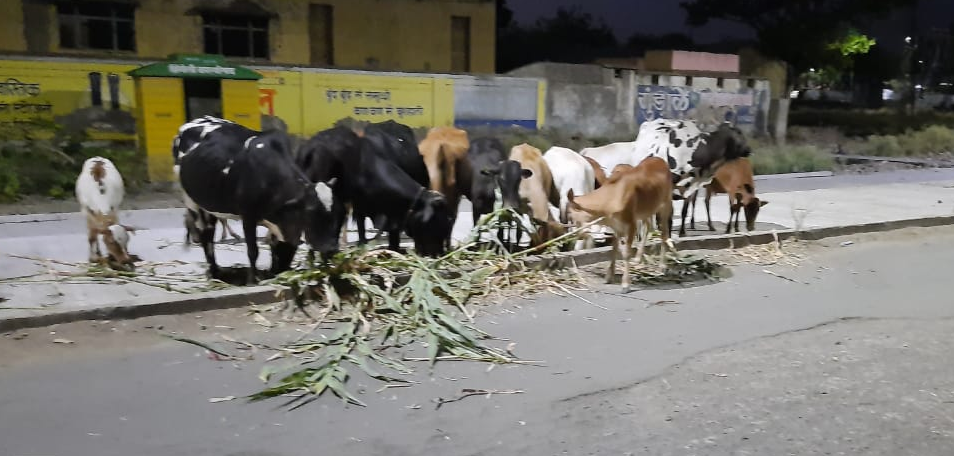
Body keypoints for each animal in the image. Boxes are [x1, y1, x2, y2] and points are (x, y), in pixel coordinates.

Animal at [175, 116, 338, 284]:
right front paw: (252, 280)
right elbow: (253, 251)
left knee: (210, 232)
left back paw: (216, 271)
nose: (331, 249)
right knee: (205, 236)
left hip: (210, 206)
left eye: (335, 212)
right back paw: (213, 273)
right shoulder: (248, 216)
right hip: (192, 202)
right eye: (310, 212)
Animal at [564, 157, 668, 292]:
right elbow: (614, 249)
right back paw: (638, 258)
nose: (577, 235)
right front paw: (609, 276)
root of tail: (659, 159)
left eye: (570, 214)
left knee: (664, 232)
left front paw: (625, 284)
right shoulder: (616, 225)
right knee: (648, 226)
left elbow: (626, 253)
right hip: (646, 210)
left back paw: (662, 266)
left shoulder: (631, 223)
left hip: (666, 204)